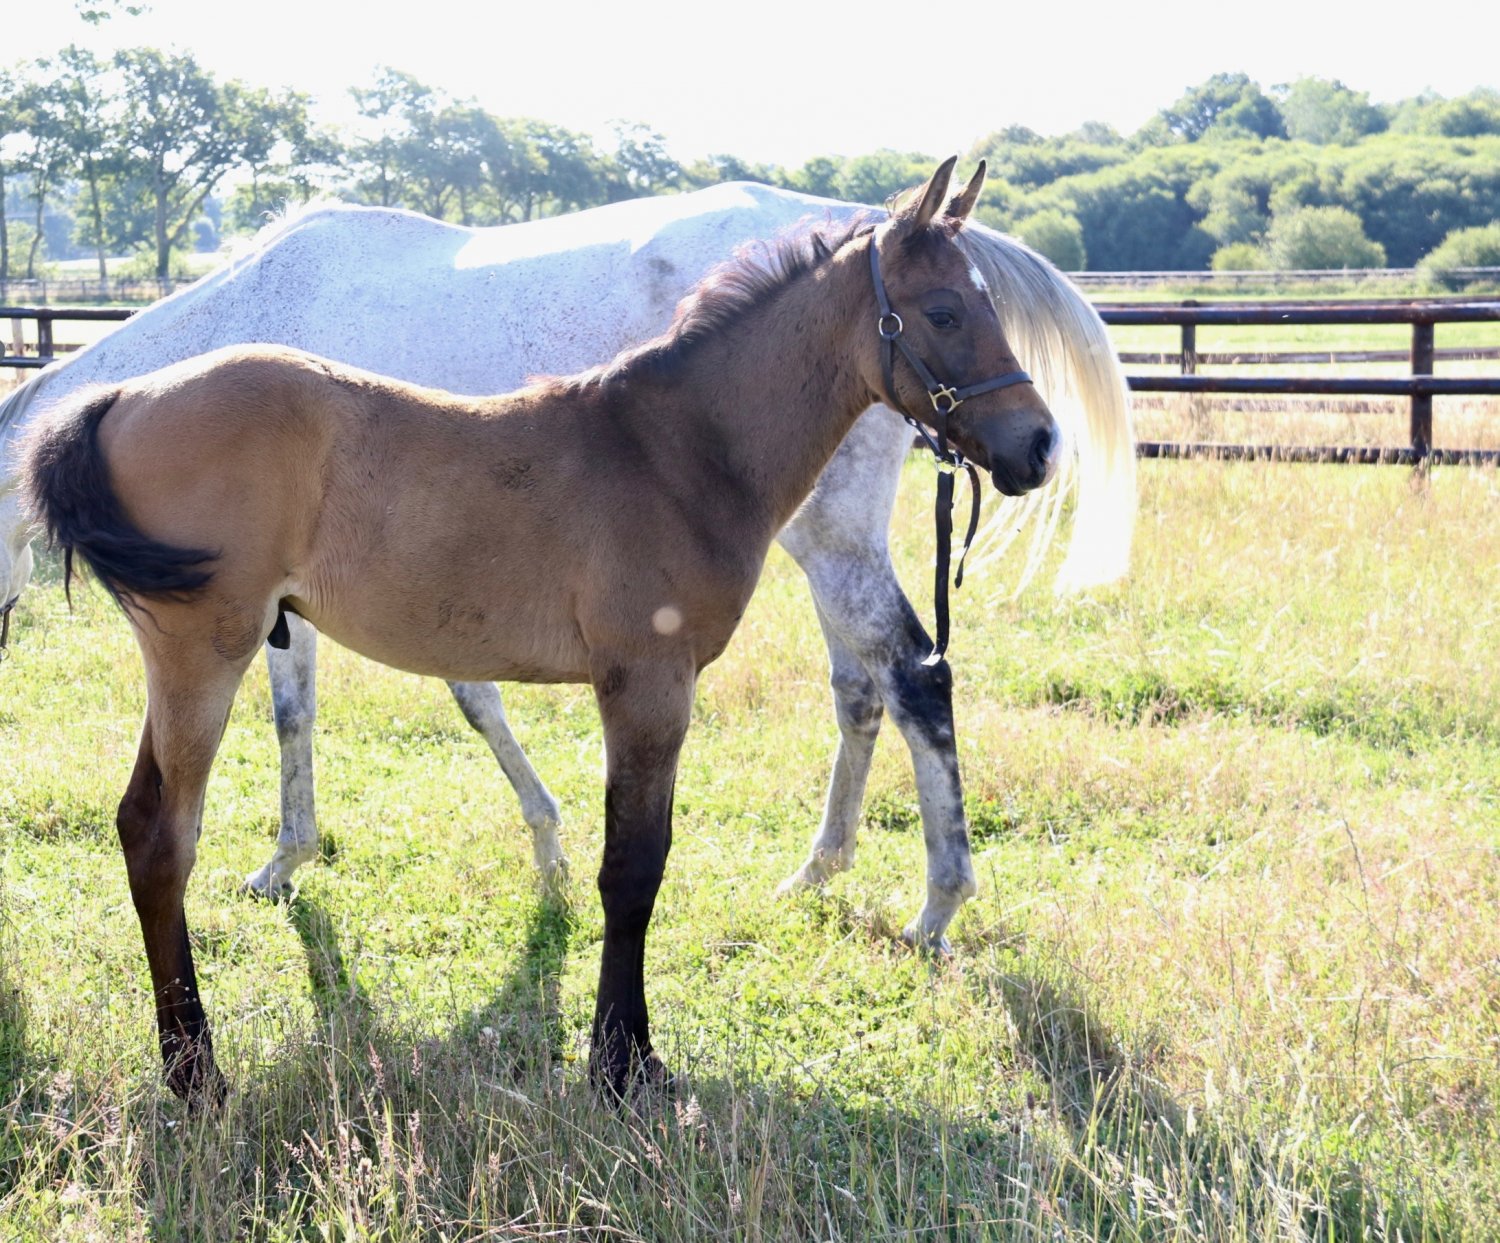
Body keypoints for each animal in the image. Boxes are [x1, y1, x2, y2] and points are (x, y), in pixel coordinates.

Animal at [22, 160, 1061, 1103]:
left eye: (984, 301)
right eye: (941, 312)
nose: (1040, 447)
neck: (676, 449)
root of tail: (119, 400)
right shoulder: (647, 681)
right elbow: (632, 869)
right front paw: (623, 1063)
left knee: (139, 822)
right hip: (204, 650)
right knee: (165, 835)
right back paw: (195, 1071)